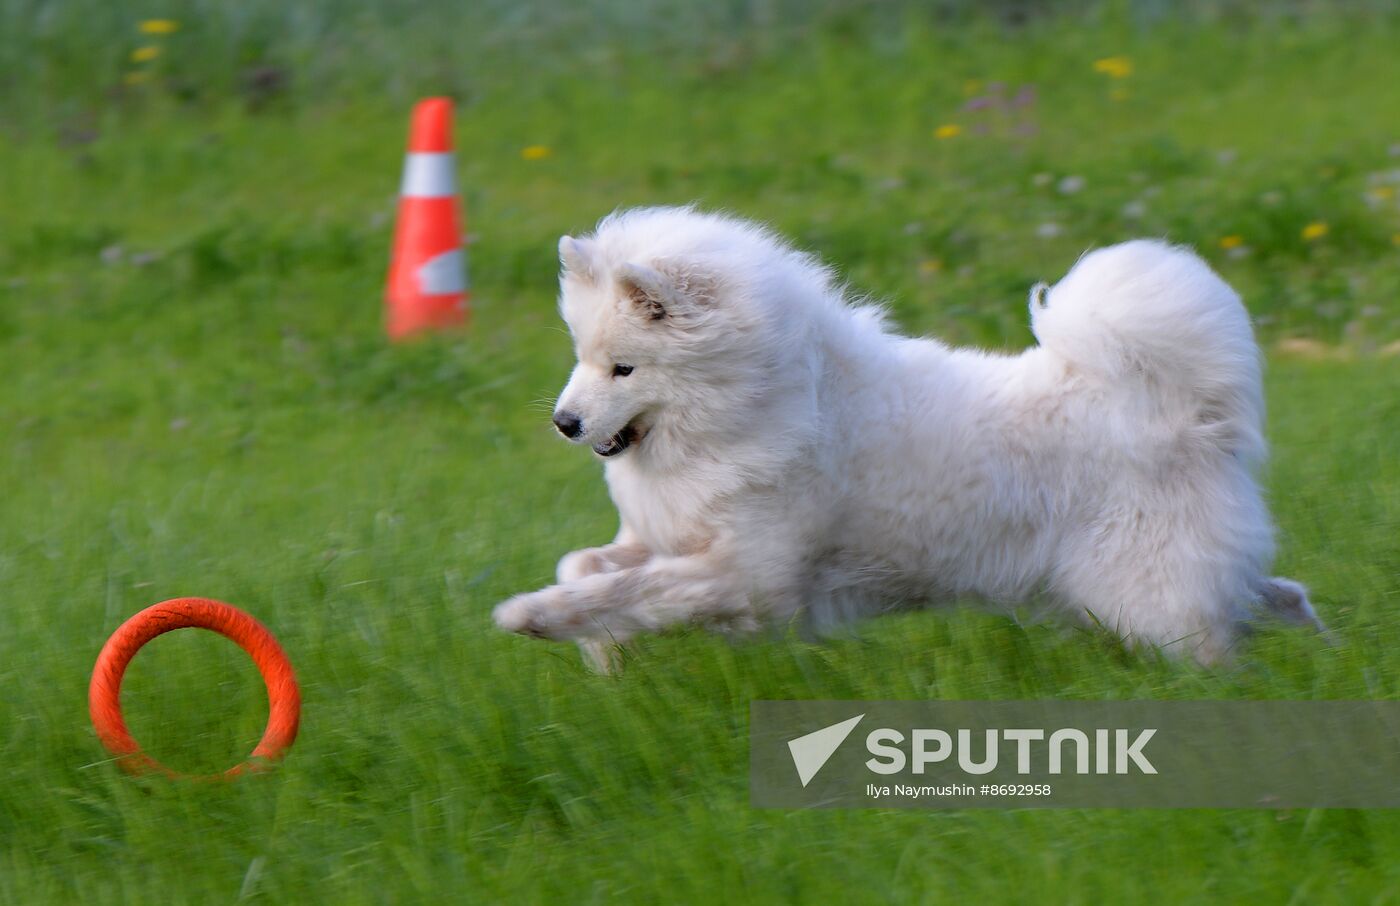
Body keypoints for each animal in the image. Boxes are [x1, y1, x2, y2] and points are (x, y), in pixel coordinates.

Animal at [495, 211, 1321, 666]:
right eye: (580, 356)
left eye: (624, 367)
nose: (565, 422)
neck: (754, 405)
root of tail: (1185, 409)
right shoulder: (664, 536)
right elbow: (586, 566)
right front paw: (605, 652)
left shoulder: (749, 575)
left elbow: (629, 589)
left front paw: (534, 620)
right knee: (1276, 594)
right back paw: (1323, 654)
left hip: (1143, 598)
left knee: (1224, 632)